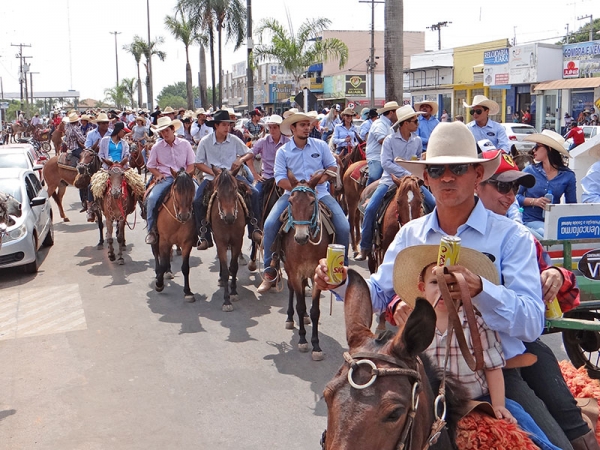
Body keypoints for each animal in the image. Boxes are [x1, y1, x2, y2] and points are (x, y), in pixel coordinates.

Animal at [152, 169, 197, 302]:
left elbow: (185, 267)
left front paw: (187, 292)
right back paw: (159, 273)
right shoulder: (163, 241)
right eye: (176, 189)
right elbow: (162, 263)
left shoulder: (187, 243)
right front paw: (159, 284)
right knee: (156, 254)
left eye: (192, 188)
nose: (184, 215)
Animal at [211, 167, 248, 312]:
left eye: (235, 188)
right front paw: (226, 301)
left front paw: (233, 292)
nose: (229, 217)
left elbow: (233, 267)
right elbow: (226, 271)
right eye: (218, 191)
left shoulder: (238, 241)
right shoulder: (221, 242)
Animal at [282, 171, 332, 360]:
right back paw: (290, 318)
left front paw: (316, 345)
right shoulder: (294, 272)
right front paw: (303, 340)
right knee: (292, 290)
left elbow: (315, 311)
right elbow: (300, 304)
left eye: (312, 202)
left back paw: (303, 317)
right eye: (290, 201)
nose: (301, 237)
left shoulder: (316, 275)